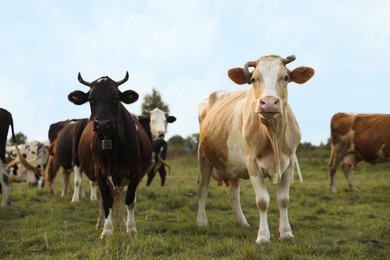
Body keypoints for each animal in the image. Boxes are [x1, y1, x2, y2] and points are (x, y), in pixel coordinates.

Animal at [68, 71, 152, 240]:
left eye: (115, 98)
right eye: (91, 100)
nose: (102, 124)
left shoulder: (135, 173)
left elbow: (130, 200)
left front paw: (130, 228)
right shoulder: (100, 173)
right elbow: (106, 201)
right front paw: (106, 230)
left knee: (119, 196)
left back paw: (122, 223)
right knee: (103, 198)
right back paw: (101, 223)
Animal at [198, 53, 314, 243]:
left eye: (286, 77)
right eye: (253, 79)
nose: (269, 103)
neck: (273, 135)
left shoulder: (289, 163)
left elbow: (283, 199)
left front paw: (286, 233)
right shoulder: (252, 164)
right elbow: (262, 201)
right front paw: (263, 236)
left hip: (233, 165)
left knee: (233, 193)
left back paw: (242, 222)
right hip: (203, 157)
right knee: (203, 188)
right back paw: (201, 222)